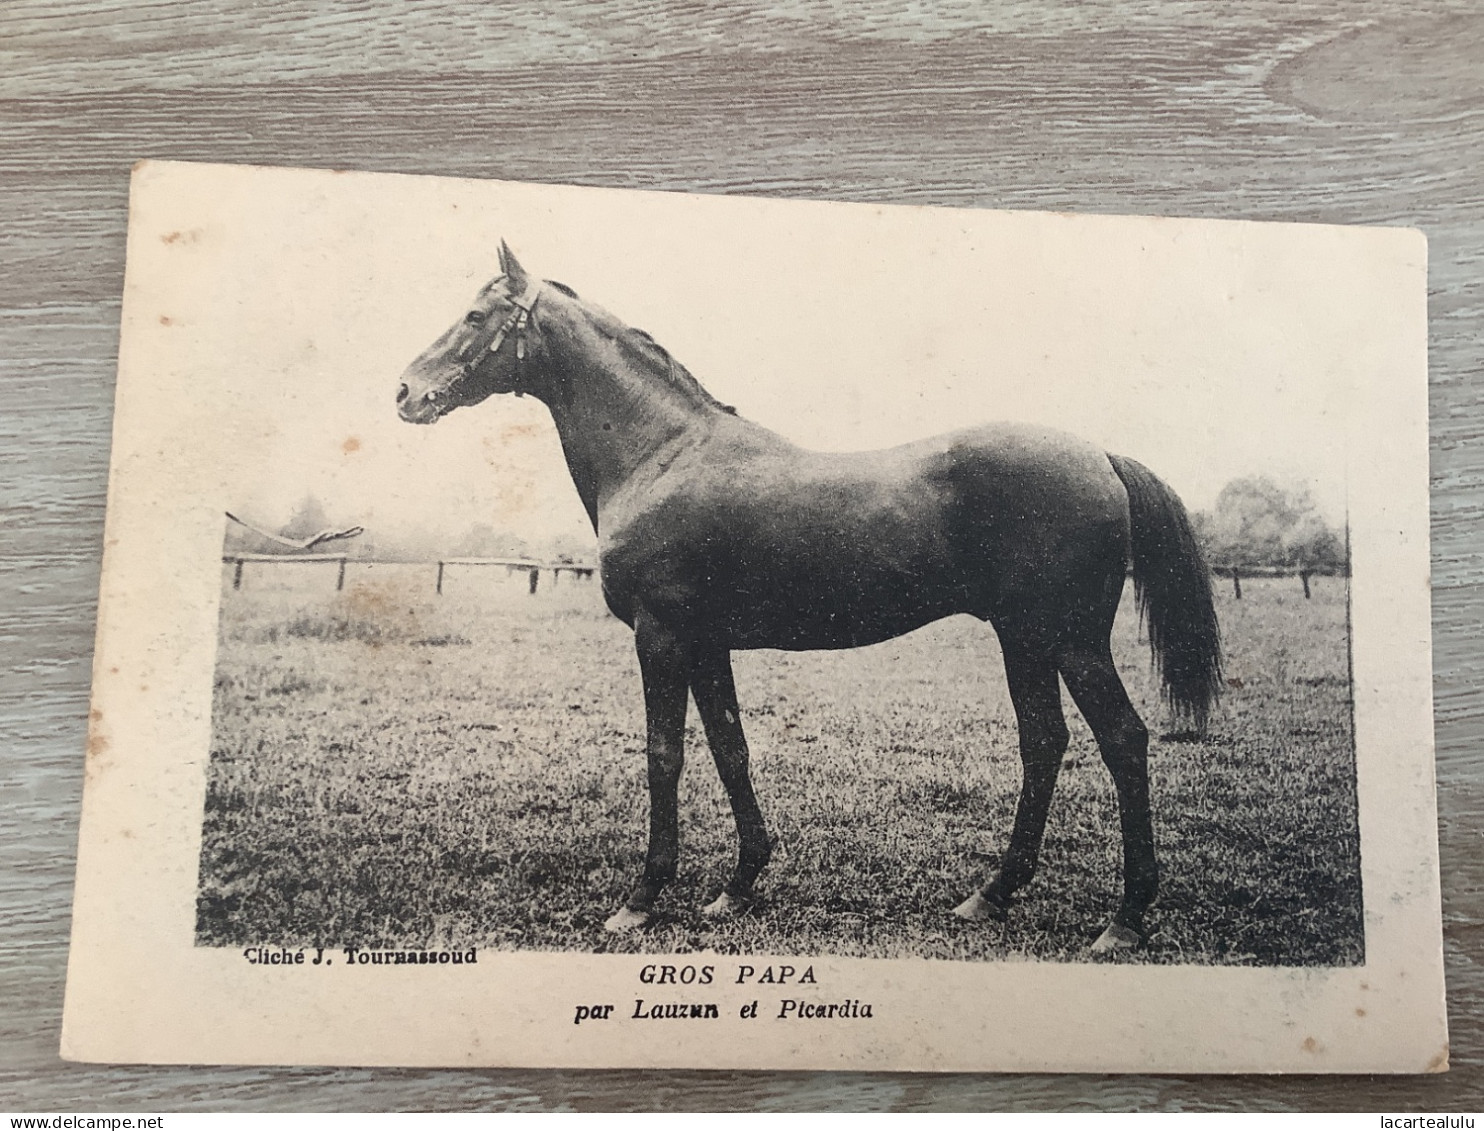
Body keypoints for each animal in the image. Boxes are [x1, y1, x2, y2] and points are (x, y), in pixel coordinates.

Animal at [394, 240, 1216, 949]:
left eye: (475, 315)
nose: (404, 392)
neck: (662, 454)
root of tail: (1101, 456)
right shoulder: (707, 642)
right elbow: (730, 746)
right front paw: (738, 885)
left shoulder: (661, 637)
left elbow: (665, 755)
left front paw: (642, 899)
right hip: (1023, 639)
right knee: (1043, 742)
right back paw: (990, 895)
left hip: (1070, 640)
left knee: (1123, 740)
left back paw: (1124, 919)